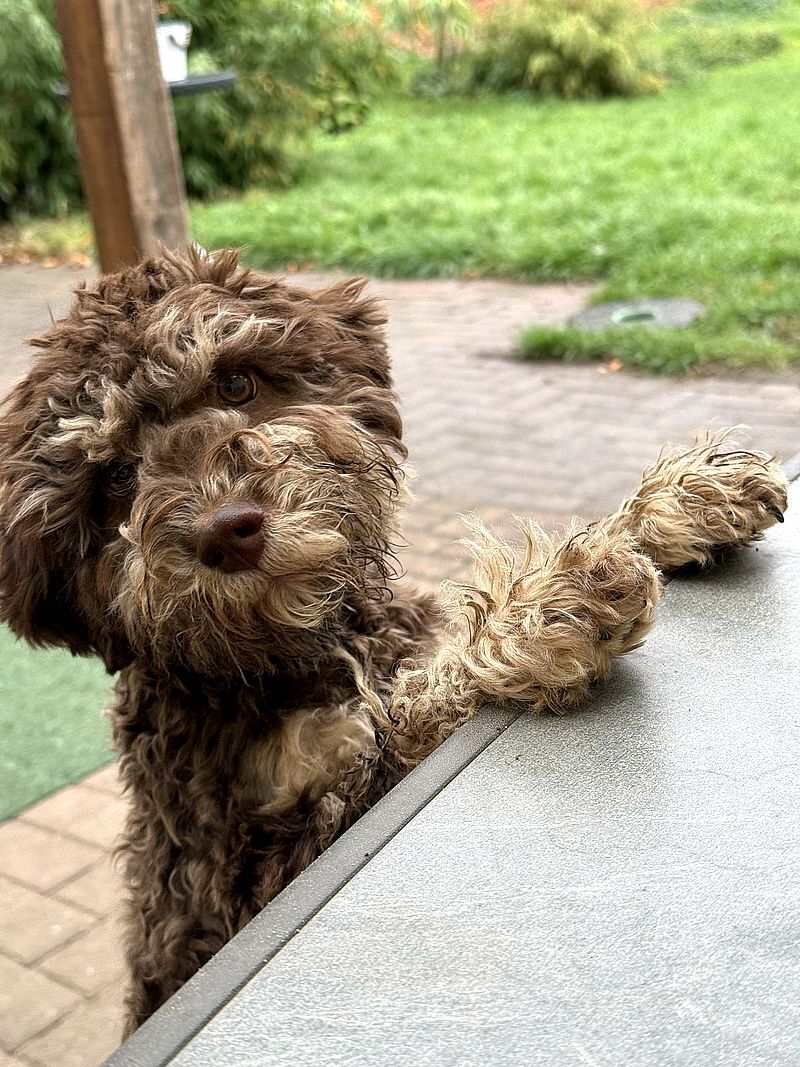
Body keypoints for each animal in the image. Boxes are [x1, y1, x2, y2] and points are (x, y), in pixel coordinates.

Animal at [0, 248, 787, 1036]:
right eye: (114, 477)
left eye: (236, 382)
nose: (228, 530)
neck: (300, 657)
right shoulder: (233, 883)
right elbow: (394, 731)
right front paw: (540, 605)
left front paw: (677, 500)